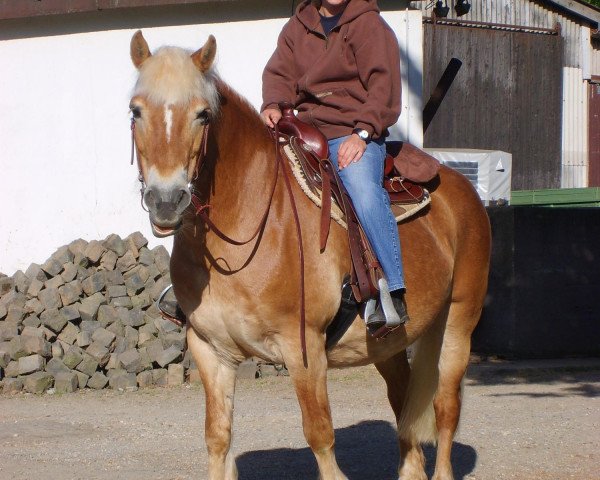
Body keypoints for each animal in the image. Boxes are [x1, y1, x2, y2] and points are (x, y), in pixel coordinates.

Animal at [129, 31, 490, 480]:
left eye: (202, 115)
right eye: (135, 111)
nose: (166, 202)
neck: (248, 225)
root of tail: (460, 190)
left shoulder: (304, 350)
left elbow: (319, 434)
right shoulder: (210, 351)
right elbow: (217, 437)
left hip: (458, 322)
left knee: (445, 407)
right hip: (387, 344)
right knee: (404, 403)